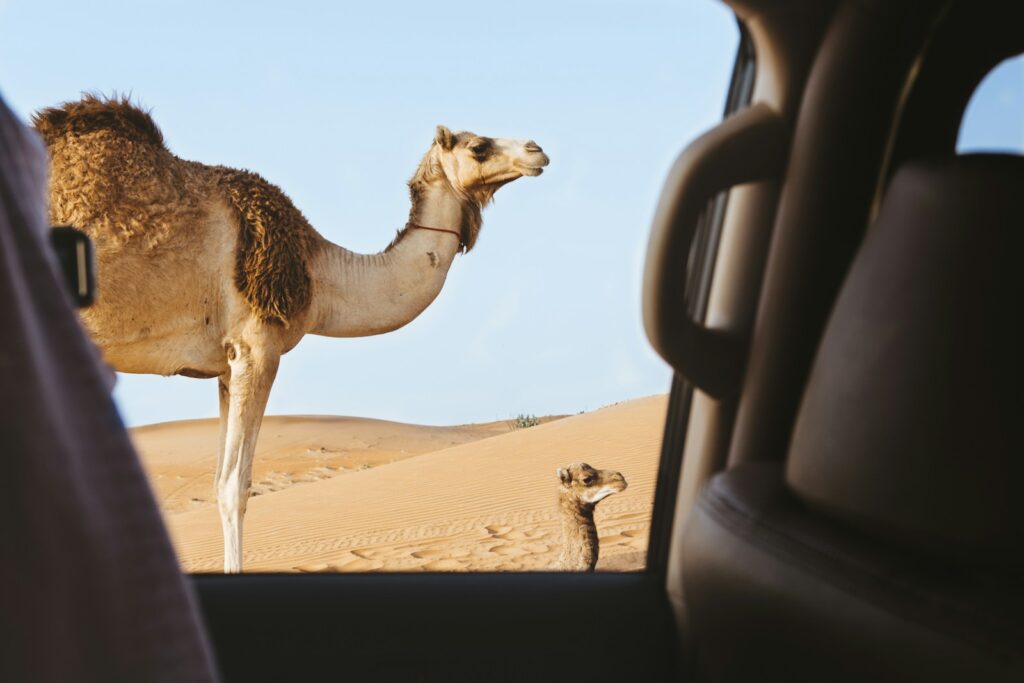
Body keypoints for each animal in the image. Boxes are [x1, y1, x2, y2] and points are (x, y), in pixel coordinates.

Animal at [32, 95, 549, 573]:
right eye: (479, 146)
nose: (537, 150)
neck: (319, 274)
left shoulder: (224, 365)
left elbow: (218, 478)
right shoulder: (258, 346)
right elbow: (234, 487)